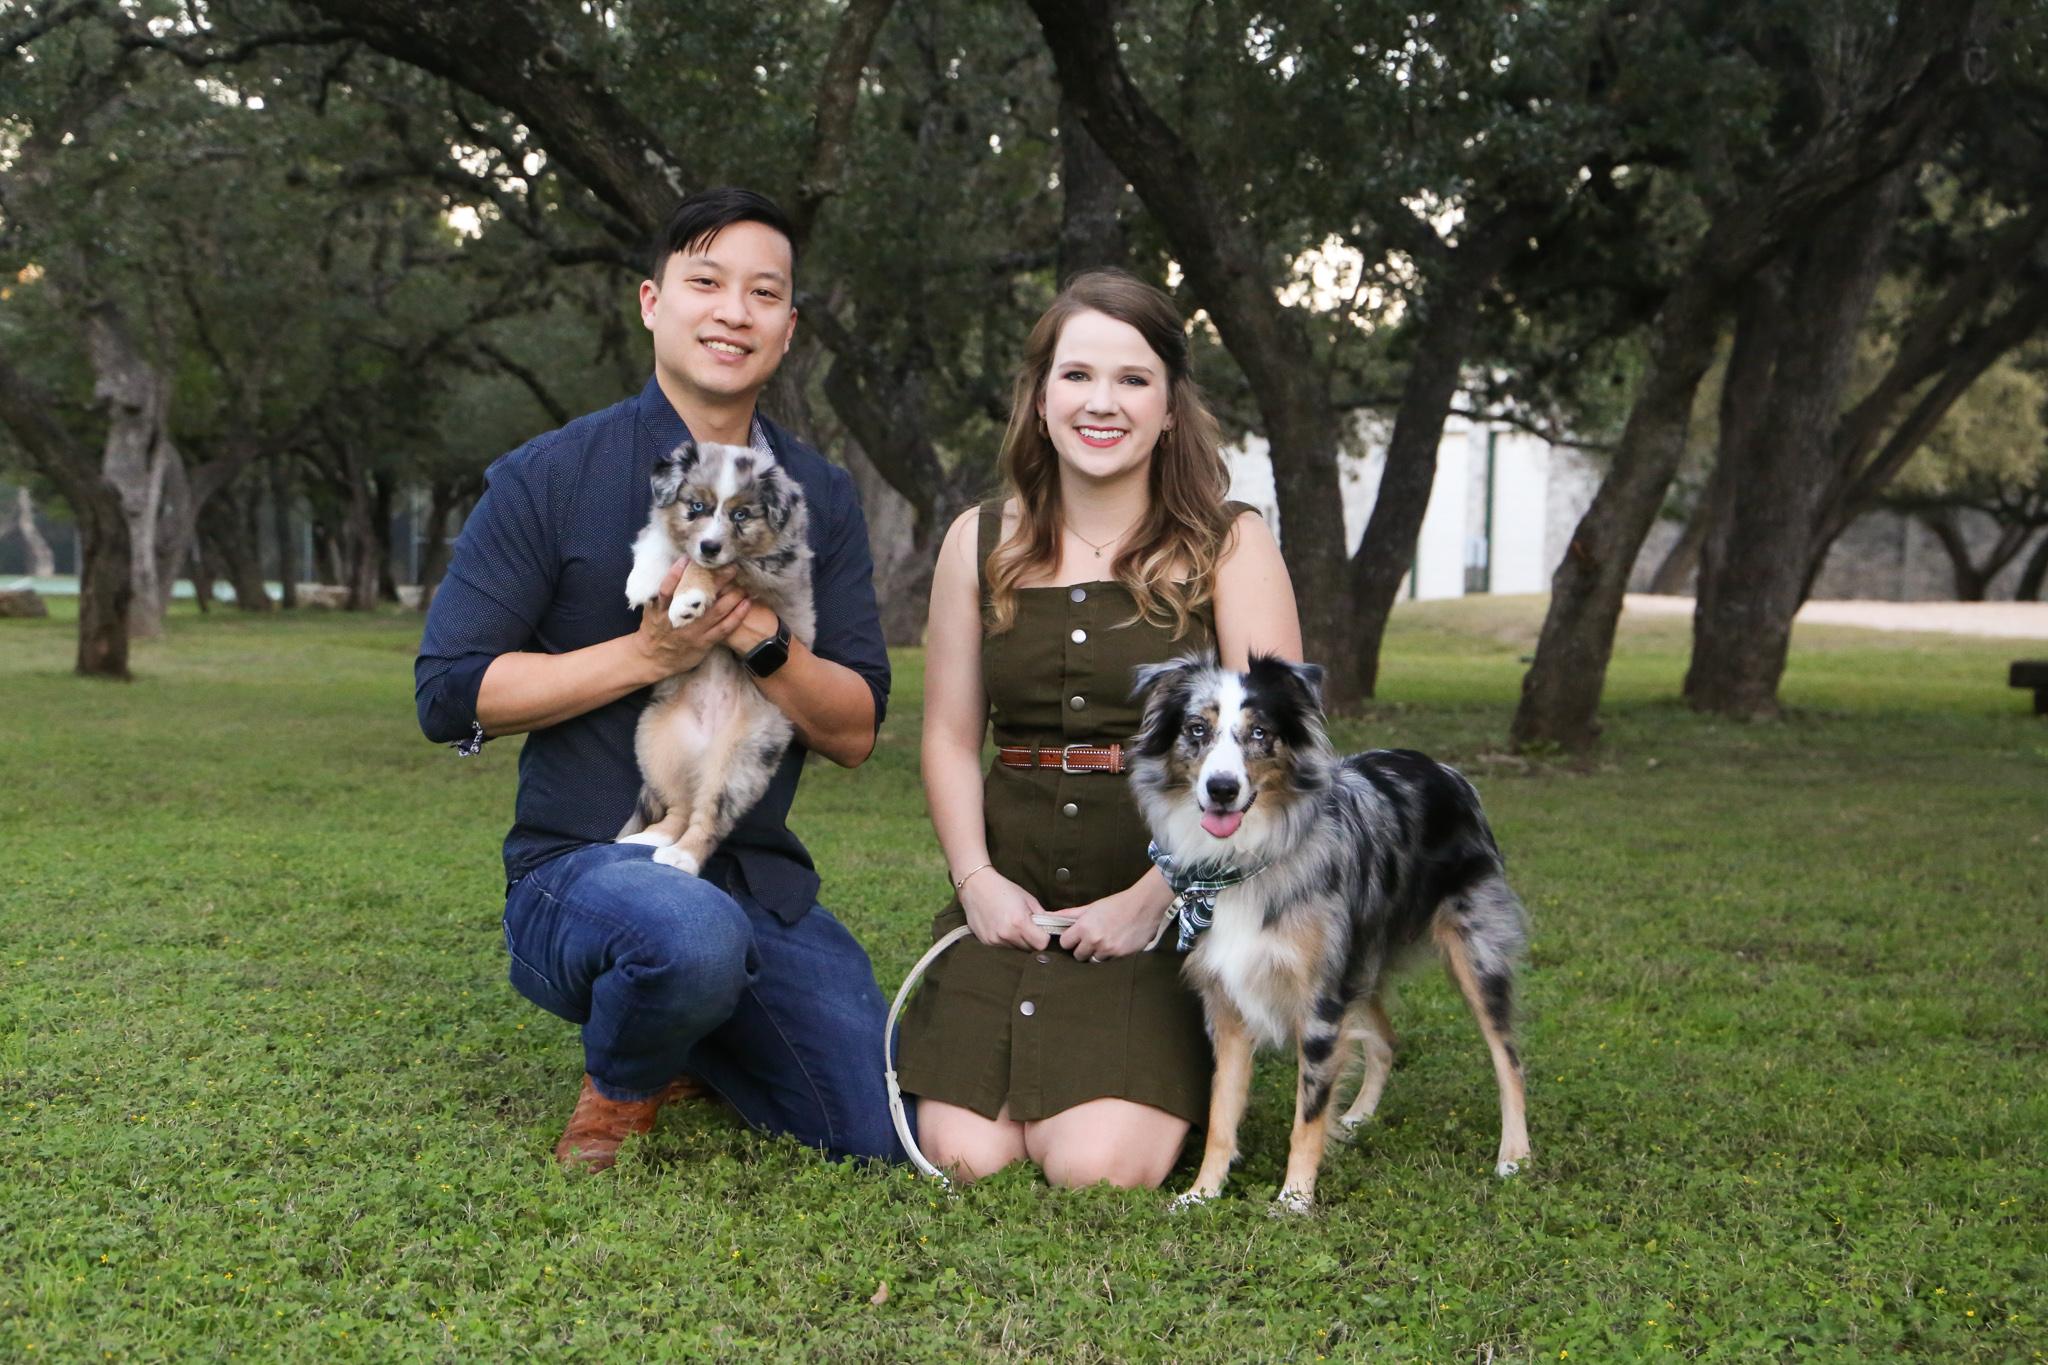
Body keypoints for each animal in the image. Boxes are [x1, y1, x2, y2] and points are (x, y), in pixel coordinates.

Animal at [617, 438, 814, 876]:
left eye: (741, 514)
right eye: (696, 507)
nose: (710, 546)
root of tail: (705, 752)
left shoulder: (766, 570)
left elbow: (708, 566)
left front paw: (688, 598)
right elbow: (661, 540)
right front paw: (642, 581)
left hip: (740, 760)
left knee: (707, 818)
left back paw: (683, 857)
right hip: (656, 743)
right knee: (679, 808)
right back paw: (650, 839)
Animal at [1129, 653, 1531, 1212]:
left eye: (1260, 733)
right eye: (1196, 730)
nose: (1222, 789)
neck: (1246, 860)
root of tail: (1444, 769)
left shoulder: (1320, 1004)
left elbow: (1307, 1115)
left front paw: (1294, 1200)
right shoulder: (1229, 1004)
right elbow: (1221, 1114)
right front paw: (1202, 1192)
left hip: (1474, 954)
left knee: (1507, 1057)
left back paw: (1515, 1156)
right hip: (1359, 962)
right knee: (1386, 1038)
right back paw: (1358, 1117)